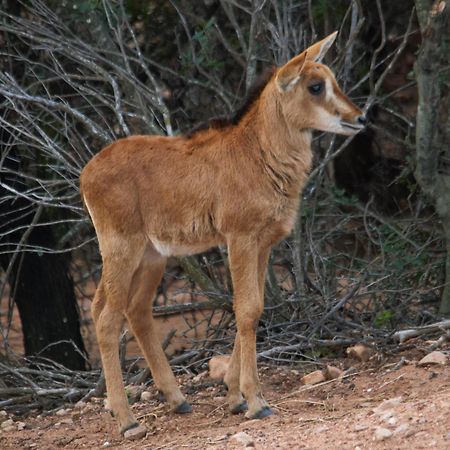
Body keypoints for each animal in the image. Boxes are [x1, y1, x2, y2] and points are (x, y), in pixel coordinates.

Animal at [81, 31, 366, 436]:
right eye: (315, 85)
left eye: (332, 79)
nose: (359, 118)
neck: (258, 152)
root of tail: (86, 174)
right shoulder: (240, 237)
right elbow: (245, 310)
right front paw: (256, 402)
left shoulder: (263, 244)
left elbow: (256, 307)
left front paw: (235, 397)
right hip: (122, 248)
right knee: (107, 318)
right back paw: (127, 420)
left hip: (152, 256)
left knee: (134, 310)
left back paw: (177, 400)